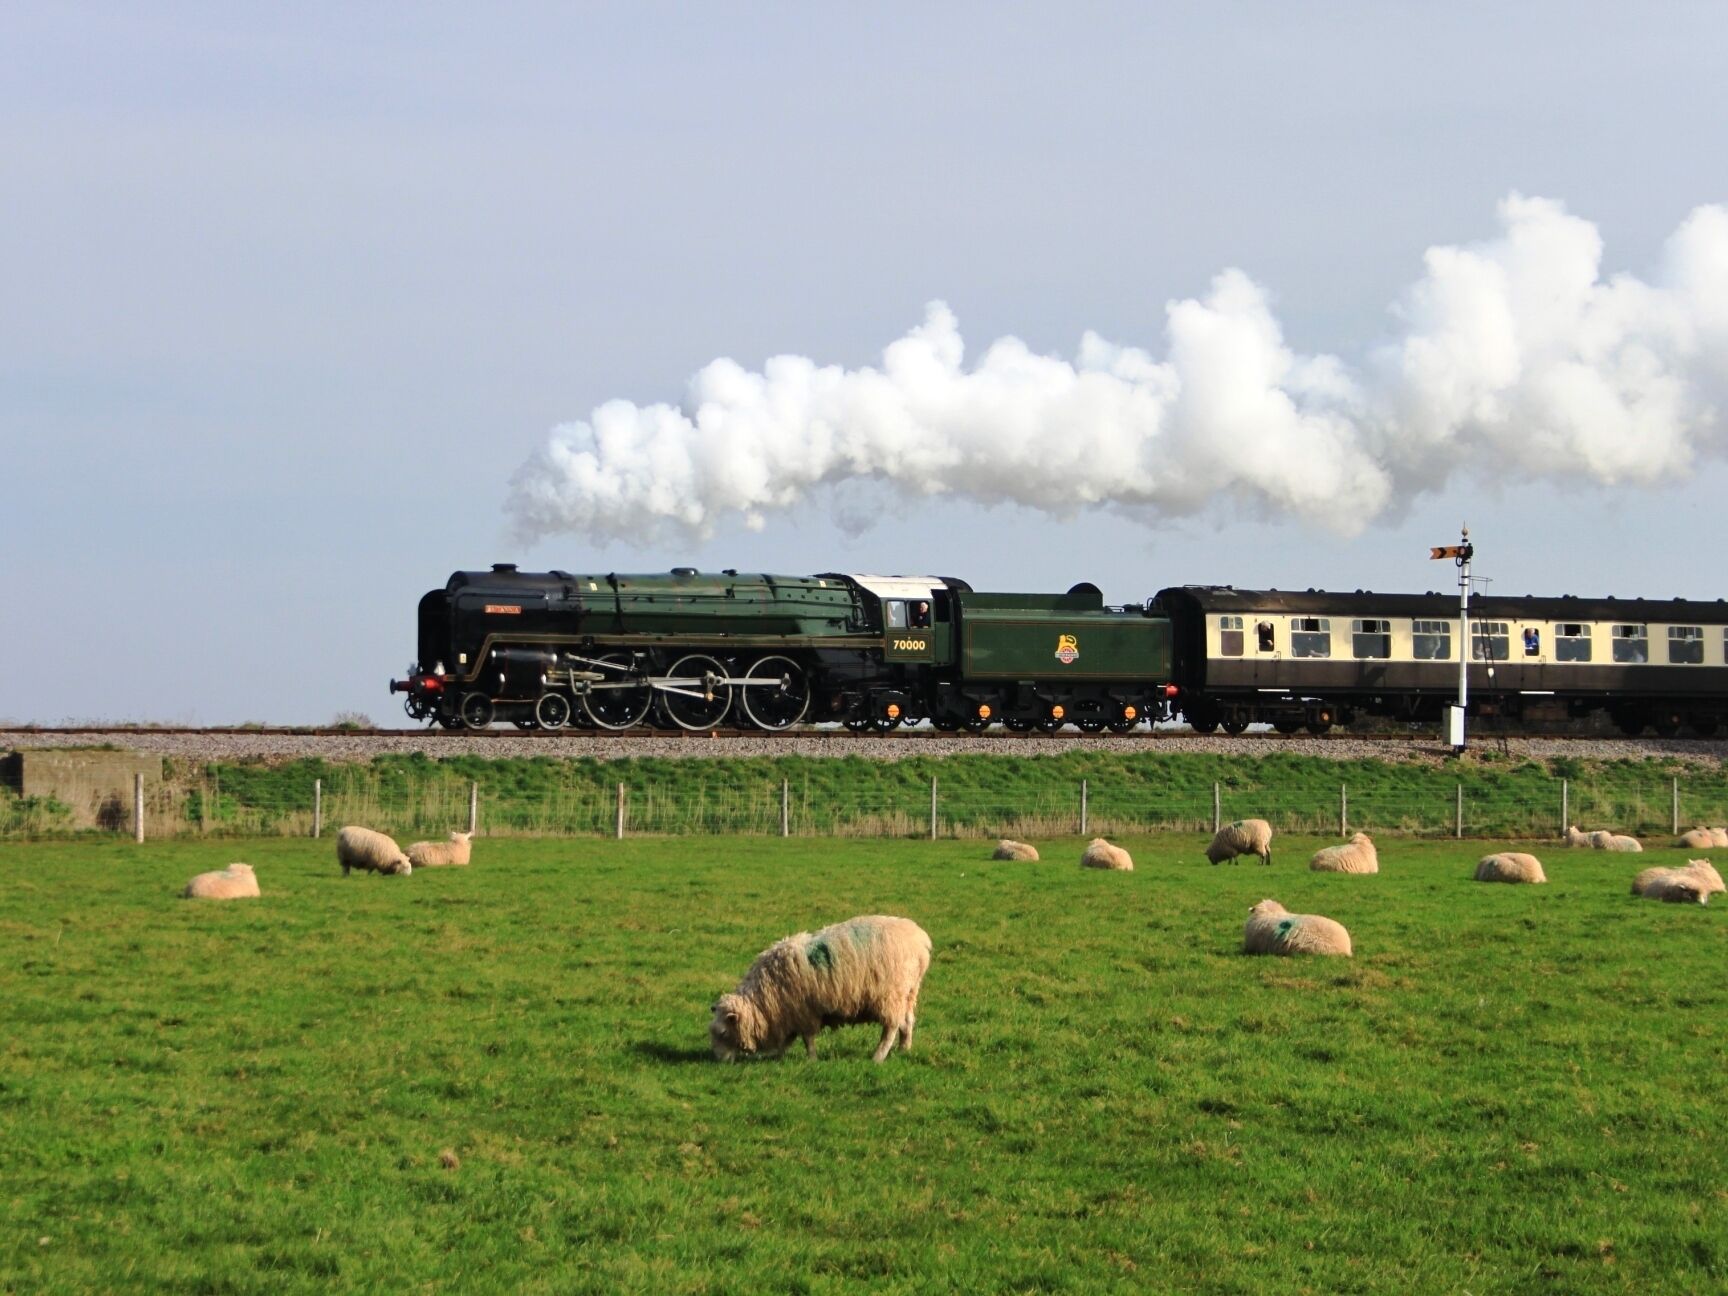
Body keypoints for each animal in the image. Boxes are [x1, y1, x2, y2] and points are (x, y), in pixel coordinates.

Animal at [709, 914, 931, 1063]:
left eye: (723, 1032)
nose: (719, 1061)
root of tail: (920, 940)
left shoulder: (803, 1012)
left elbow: (807, 1039)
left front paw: (811, 1059)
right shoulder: (790, 1014)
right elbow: (788, 1040)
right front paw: (778, 1056)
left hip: (889, 995)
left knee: (890, 1028)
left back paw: (878, 1057)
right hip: (908, 992)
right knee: (907, 1021)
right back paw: (904, 1049)